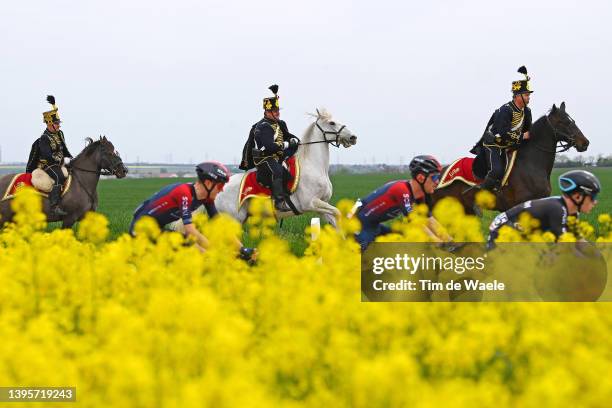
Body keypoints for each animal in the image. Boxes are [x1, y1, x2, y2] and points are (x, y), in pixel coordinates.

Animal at [170, 108, 356, 230]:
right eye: (332, 122)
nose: (353, 137)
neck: (314, 167)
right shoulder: (311, 203)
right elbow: (338, 213)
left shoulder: (321, 205)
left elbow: (335, 220)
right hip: (232, 219)